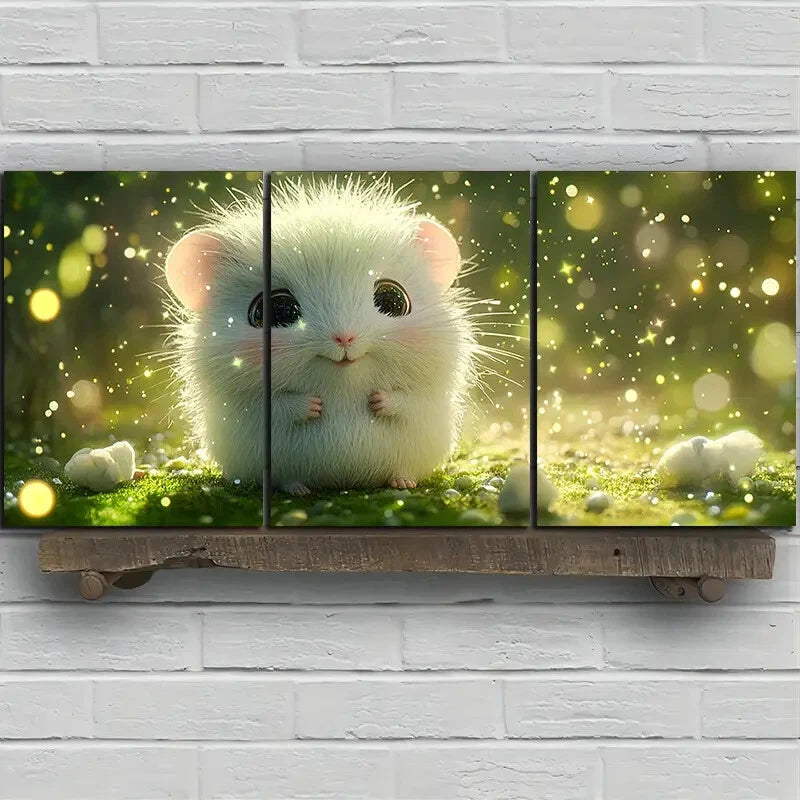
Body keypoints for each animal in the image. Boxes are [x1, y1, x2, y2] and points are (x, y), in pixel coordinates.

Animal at [270, 175, 477, 494]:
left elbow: (410, 401)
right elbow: (275, 406)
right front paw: (314, 404)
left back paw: (402, 482)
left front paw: (378, 401)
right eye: (278, 312)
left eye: (393, 301)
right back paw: (298, 488)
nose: (344, 338)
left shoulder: (428, 398)